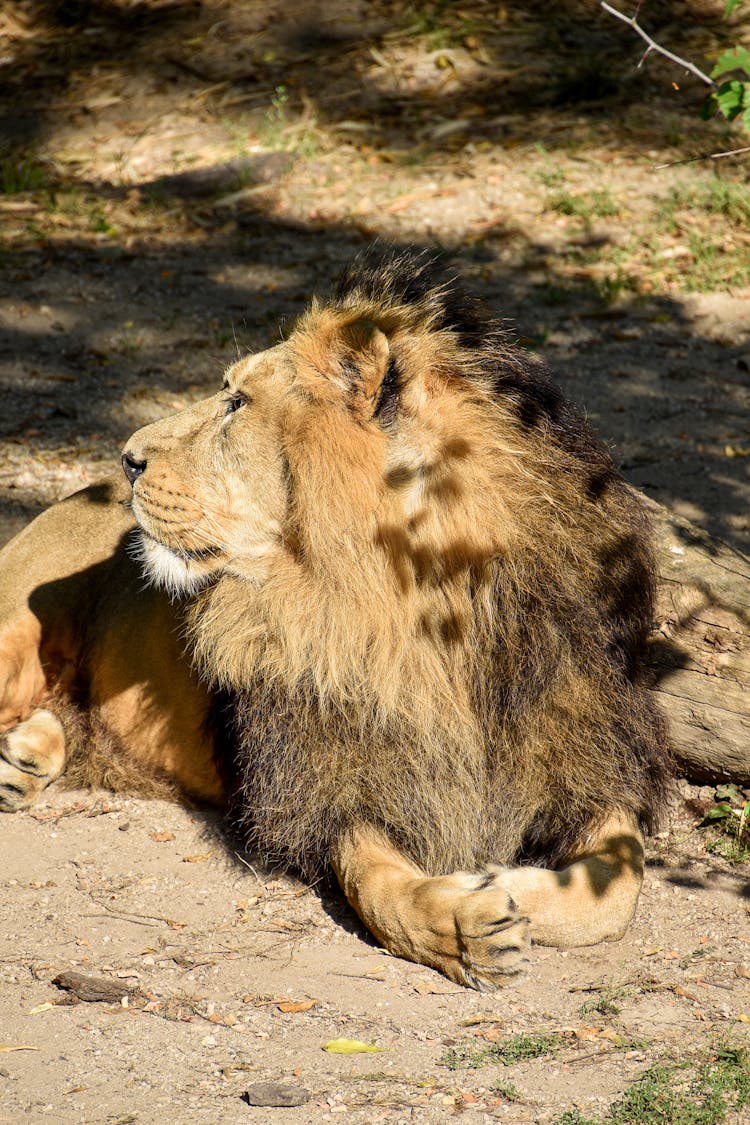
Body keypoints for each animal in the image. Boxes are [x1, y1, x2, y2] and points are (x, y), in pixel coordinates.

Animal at [0, 248, 670, 994]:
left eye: (236, 402)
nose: (127, 457)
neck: (424, 611)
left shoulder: (584, 749)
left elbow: (618, 883)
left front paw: (509, 882)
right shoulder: (334, 779)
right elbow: (381, 886)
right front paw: (463, 923)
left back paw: (28, 757)